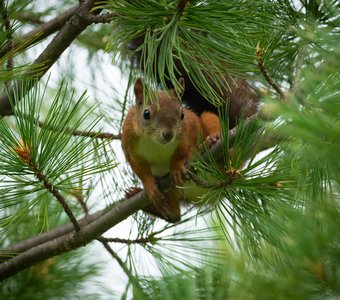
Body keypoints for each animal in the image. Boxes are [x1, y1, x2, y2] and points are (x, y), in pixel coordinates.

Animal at [122, 77, 220, 223]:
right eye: (146, 114)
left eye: (182, 114)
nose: (168, 134)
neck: (154, 141)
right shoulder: (129, 144)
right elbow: (140, 170)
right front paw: (149, 186)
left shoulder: (189, 128)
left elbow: (183, 151)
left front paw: (177, 166)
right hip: (169, 188)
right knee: (175, 215)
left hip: (210, 122)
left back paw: (211, 140)